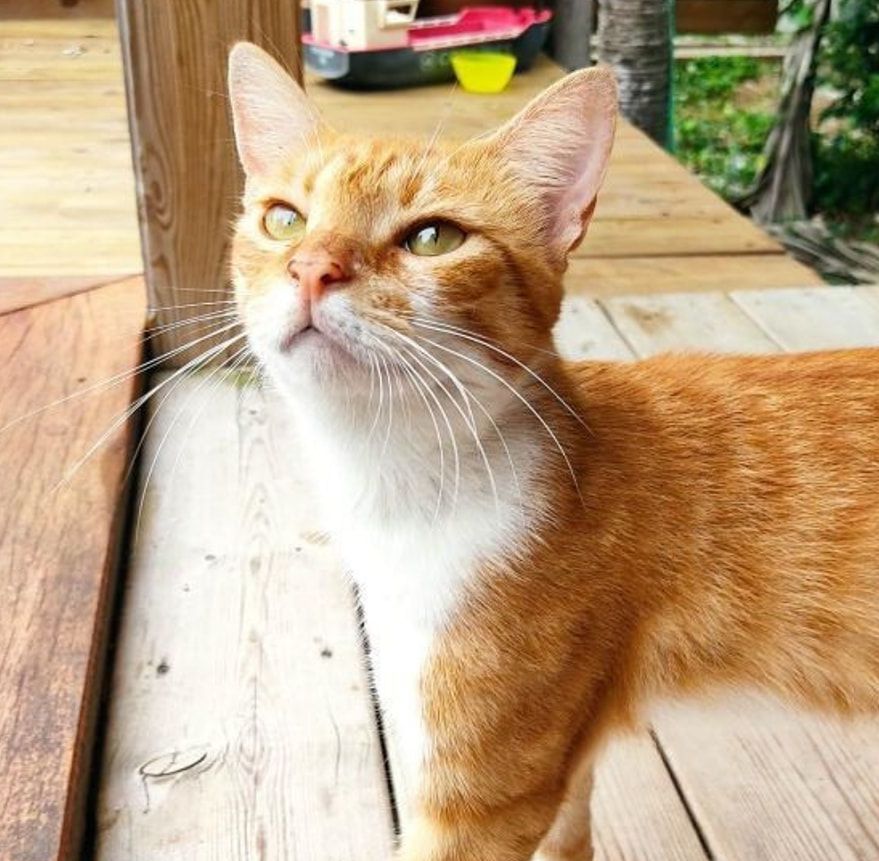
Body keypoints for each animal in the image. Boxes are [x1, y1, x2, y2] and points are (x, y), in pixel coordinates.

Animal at [227, 42, 879, 861]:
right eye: (283, 220)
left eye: (433, 237)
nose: (312, 267)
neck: (399, 491)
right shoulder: (558, 767)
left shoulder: (483, 797)